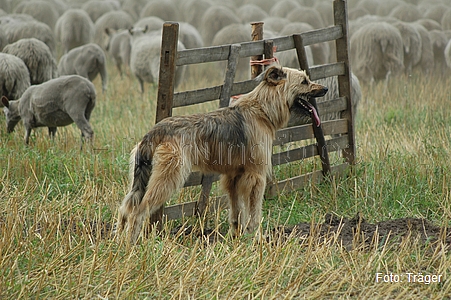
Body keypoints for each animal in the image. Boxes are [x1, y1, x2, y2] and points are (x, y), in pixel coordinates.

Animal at [116, 64, 328, 243]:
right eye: (304, 81)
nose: (325, 89)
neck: (262, 109)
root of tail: (155, 131)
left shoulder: (233, 177)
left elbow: (236, 213)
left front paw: (237, 237)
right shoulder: (256, 177)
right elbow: (254, 213)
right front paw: (257, 238)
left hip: (141, 181)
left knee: (125, 209)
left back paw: (118, 242)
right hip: (168, 178)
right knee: (138, 211)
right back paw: (131, 245)